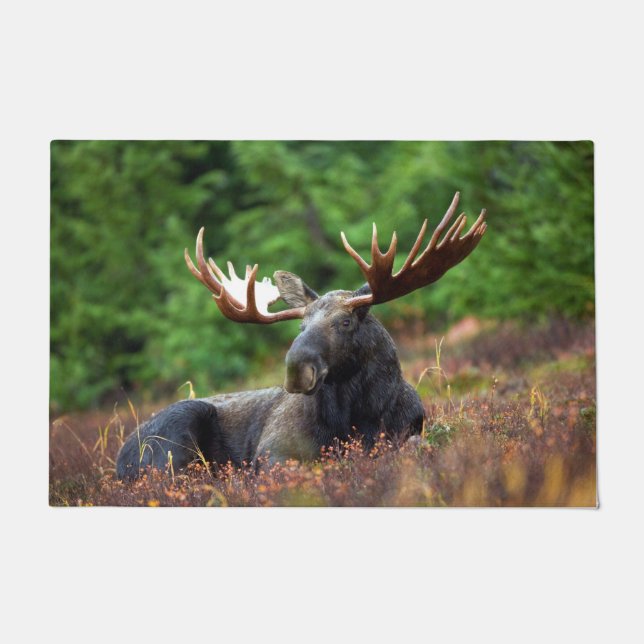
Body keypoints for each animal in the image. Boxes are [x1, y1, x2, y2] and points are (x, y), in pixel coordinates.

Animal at [116, 192, 487, 480]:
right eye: (301, 326)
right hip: (175, 435)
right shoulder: (272, 451)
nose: (296, 369)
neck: (360, 416)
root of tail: (119, 460)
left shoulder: (409, 431)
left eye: (345, 322)